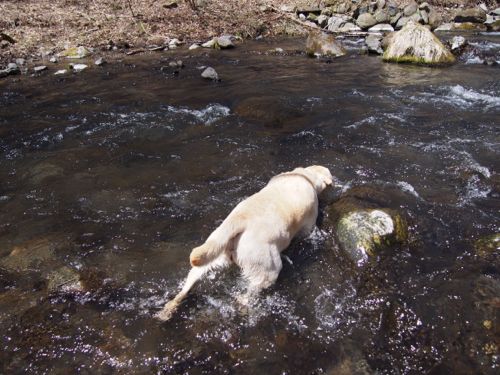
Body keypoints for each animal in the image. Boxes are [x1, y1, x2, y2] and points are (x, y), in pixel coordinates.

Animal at [155, 166, 332, 322]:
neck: (304, 176)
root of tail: (238, 220)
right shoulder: (308, 226)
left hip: (214, 252)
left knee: (187, 284)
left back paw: (167, 311)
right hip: (268, 269)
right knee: (248, 294)